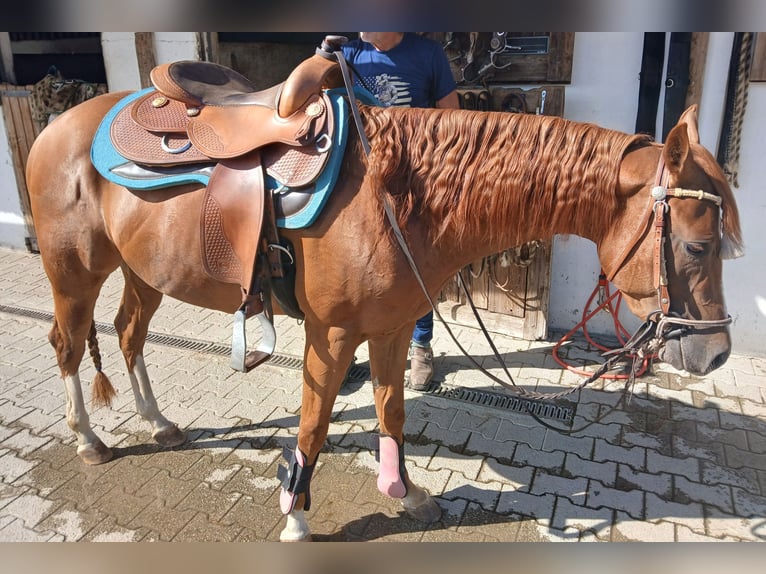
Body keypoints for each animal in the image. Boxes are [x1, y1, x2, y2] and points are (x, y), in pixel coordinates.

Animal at [25, 60, 743, 540]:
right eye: (699, 245)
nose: (715, 355)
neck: (396, 196)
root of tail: (62, 122)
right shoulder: (333, 335)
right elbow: (313, 425)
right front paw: (296, 519)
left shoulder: (394, 327)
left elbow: (393, 412)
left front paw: (406, 493)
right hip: (75, 271)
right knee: (67, 345)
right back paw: (89, 440)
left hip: (142, 271)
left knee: (127, 334)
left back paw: (157, 423)